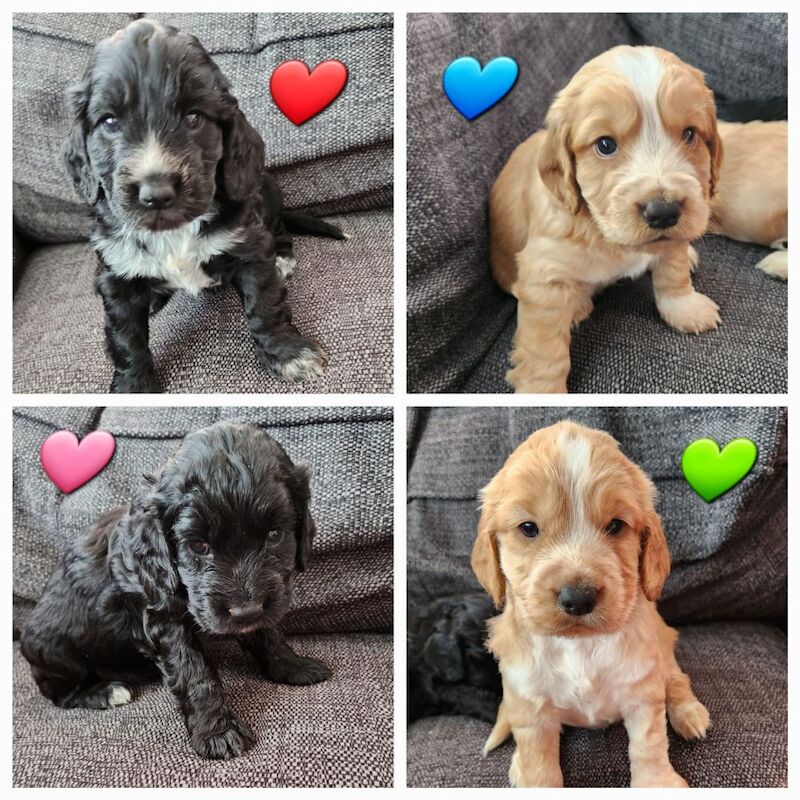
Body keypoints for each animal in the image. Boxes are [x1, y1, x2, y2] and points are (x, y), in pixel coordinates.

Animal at [21, 422, 332, 760]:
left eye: (274, 535)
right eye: (198, 545)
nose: (246, 611)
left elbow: (268, 633)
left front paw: (293, 665)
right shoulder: (163, 616)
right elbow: (193, 672)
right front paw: (217, 731)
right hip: (57, 654)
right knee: (60, 695)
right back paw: (103, 692)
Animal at [61, 17, 340, 392]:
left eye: (194, 118)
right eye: (109, 122)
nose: (156, 192)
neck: (174, 231)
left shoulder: (249, 243)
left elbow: (264, 303)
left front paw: (288, 353)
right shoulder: (115, 273)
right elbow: (125, 336)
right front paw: (134, 386)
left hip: (267, 191)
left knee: (279, 228)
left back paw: (282, 258)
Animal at [472, 418, 708, 788]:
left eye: (616, 526)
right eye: (528, 528)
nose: (578, 598)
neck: (579, 645)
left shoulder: (641, 688)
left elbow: (649, 744)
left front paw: (657, 782)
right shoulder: (529, 704)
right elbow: (538, 764)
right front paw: (530, 772)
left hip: (663, 648)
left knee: (676, 679)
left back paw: (690, 713)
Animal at [490, 45, 792, 392]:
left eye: (690, 134)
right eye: (605, 144)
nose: (663, 213)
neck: (604, 232)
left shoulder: (672, 236)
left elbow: (673, 272)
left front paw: (684, 307)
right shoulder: (544, 275)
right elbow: (544, 349)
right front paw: (542, 390)